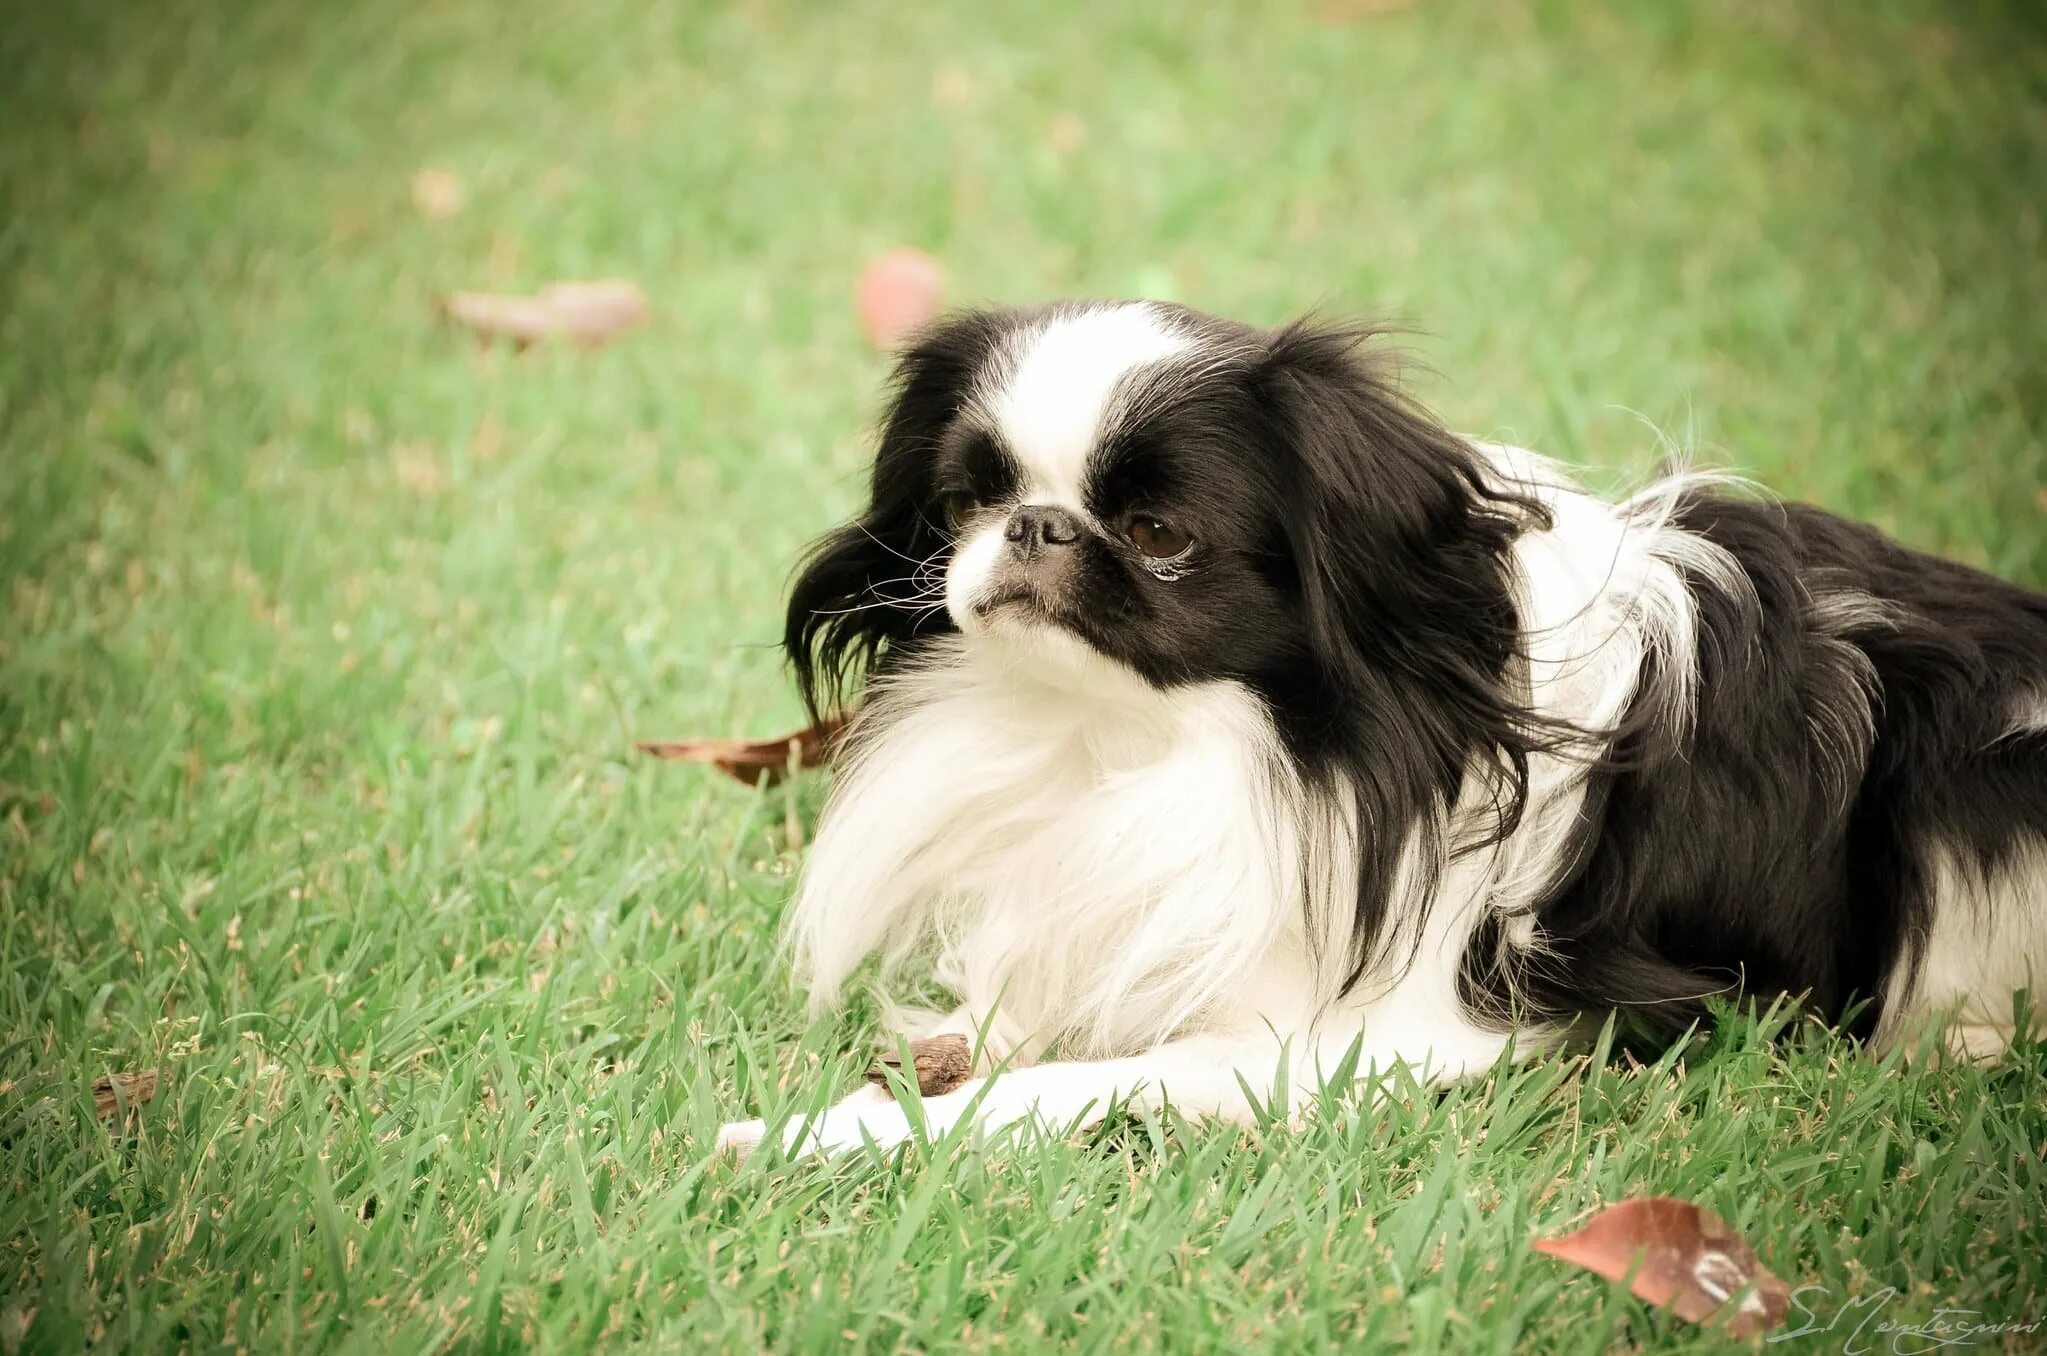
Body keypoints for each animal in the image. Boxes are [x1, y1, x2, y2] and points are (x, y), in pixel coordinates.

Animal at [712, 303, 2038, 1163]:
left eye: (1156, 534)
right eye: (968, 501)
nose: (1034, 527)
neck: (1160, 742)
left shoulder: (1384, 1039)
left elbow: (1085, 1080)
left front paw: (823, 1132)